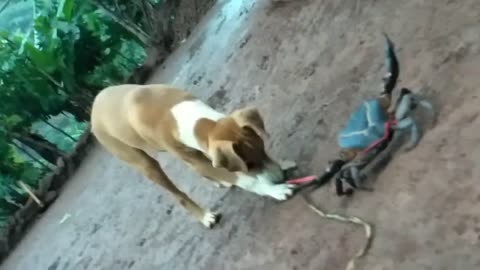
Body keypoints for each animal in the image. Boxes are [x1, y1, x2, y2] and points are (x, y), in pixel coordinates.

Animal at [89, 84, 292, 228]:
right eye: (248, 165)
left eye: (263, 150)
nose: (280, 177)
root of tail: (95, 104)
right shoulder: (197, 159)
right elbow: (247, 180)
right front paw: (274, 190)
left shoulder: (205, 152)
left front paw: (282, 165)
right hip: (144, 164)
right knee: (178, 194)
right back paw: (204, 217)